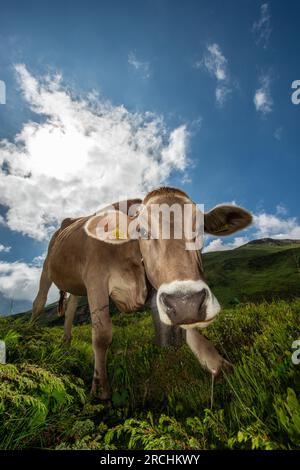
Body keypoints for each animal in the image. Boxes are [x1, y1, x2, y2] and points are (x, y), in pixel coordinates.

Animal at [31, 187, 251, 400]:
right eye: (142, 231)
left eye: (199, 229)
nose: (186, 302)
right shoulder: (95, 279)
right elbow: (102, 335)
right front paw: (100, 391)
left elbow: (187, 330)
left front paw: (217, 364)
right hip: (47, 268)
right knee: (39, 302)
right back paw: (30, 337)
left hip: (75, 284)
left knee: (70, 308)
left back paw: (66, 344)